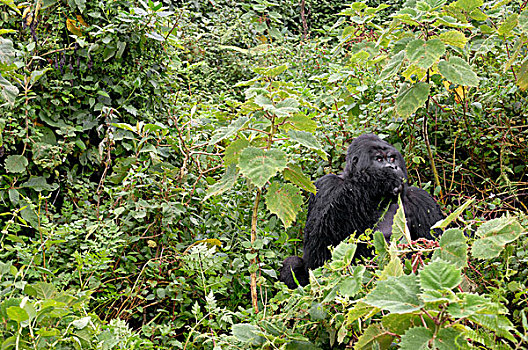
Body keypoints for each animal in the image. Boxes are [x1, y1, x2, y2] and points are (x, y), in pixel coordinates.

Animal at [278, 133, 444, 288]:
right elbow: (317, 251)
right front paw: (377, 180)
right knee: (292, 263)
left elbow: (436, 246)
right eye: (379, 159)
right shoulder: (326, 185)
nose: (392, 167)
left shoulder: (421, 199)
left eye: (392, 158)